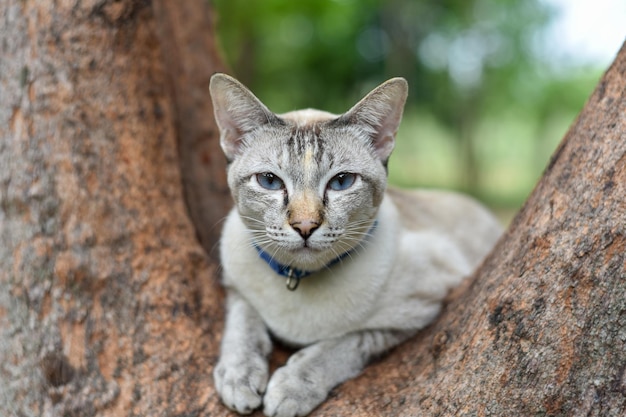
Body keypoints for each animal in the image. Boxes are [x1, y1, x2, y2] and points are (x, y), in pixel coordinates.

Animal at [207, 74, 500, 416]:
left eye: (341, 182)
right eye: (269, 181)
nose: (305, 226)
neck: (297, 280)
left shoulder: (419, 307)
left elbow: (341, 344)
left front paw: (291, 387)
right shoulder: (234, 285)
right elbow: (242, 323)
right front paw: (237, 376)